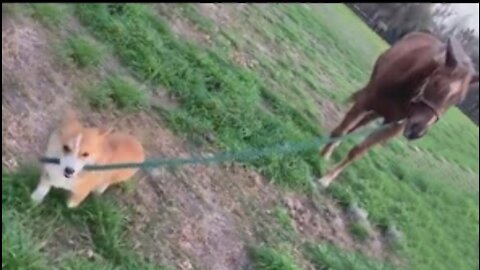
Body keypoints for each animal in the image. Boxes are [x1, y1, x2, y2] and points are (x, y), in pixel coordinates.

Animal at [316, 31, 478, 188]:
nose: (417, 131)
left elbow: (357, 151)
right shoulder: (365, 102)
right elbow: (340, 131)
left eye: (457, 100)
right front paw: (322, 156)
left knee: (361, 123)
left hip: (380, 113)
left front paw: (328, 178)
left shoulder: (393, 128)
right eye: (436, 82)